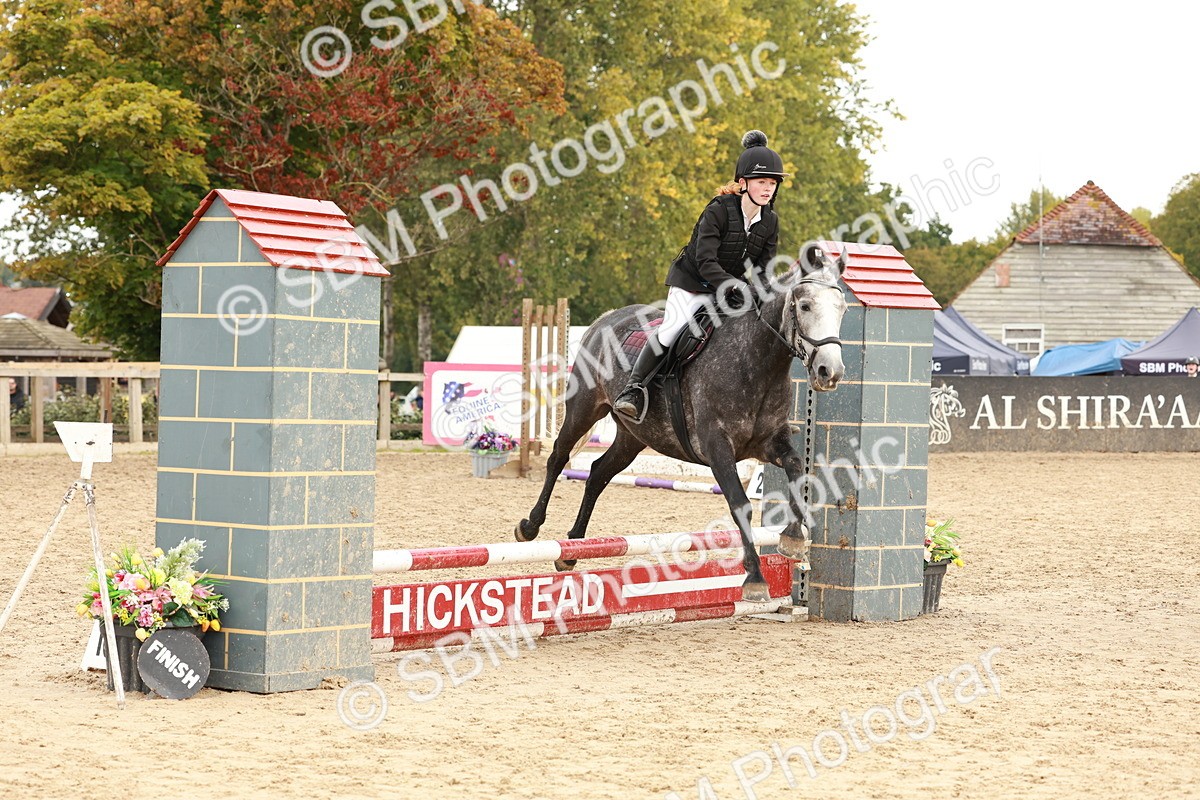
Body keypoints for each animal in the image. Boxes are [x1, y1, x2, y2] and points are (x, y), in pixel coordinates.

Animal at [515, 244, 849, 602]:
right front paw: (756, 579)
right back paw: (530, 526)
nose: (830, 372)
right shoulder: (717, 448)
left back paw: (572, 549)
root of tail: (606, 318)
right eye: (805, 305)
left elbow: (798, 469)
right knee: (558, 456)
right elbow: (740, 504)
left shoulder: (770, 443)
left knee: (598, 473)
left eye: (842, 308)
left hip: (634, 436)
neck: (756, 362)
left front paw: (793, 539)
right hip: (583, 409)